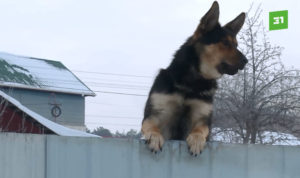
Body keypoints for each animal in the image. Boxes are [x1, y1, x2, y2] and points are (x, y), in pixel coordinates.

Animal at [142, 1, 247, 156]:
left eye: (236, 45)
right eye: (225, 43)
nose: (246, 61)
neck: (193, 82)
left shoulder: (202, 117)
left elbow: (200, 129)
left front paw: (196, 140)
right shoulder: (155, 113)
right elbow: (150, 125)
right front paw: (154, 136)